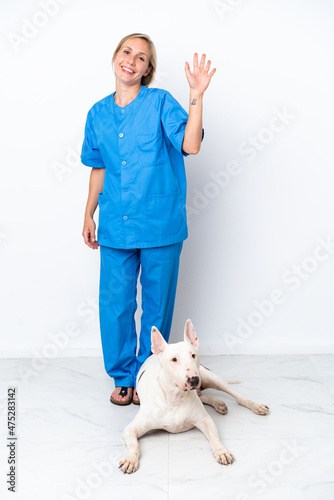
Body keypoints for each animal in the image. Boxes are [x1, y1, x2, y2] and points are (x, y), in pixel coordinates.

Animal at [118, 320, 270, 472]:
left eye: (193, 355)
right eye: (174, 359)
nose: (194, 380)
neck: (174, 398)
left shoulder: (205, 420)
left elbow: (214, 437)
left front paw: (221, 451)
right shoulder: (130, 429)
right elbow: (134, 445)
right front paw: (130, 459)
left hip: (211, 378)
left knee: (237, 396)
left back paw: (255, 406)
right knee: (203, 396)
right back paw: (218, 403)